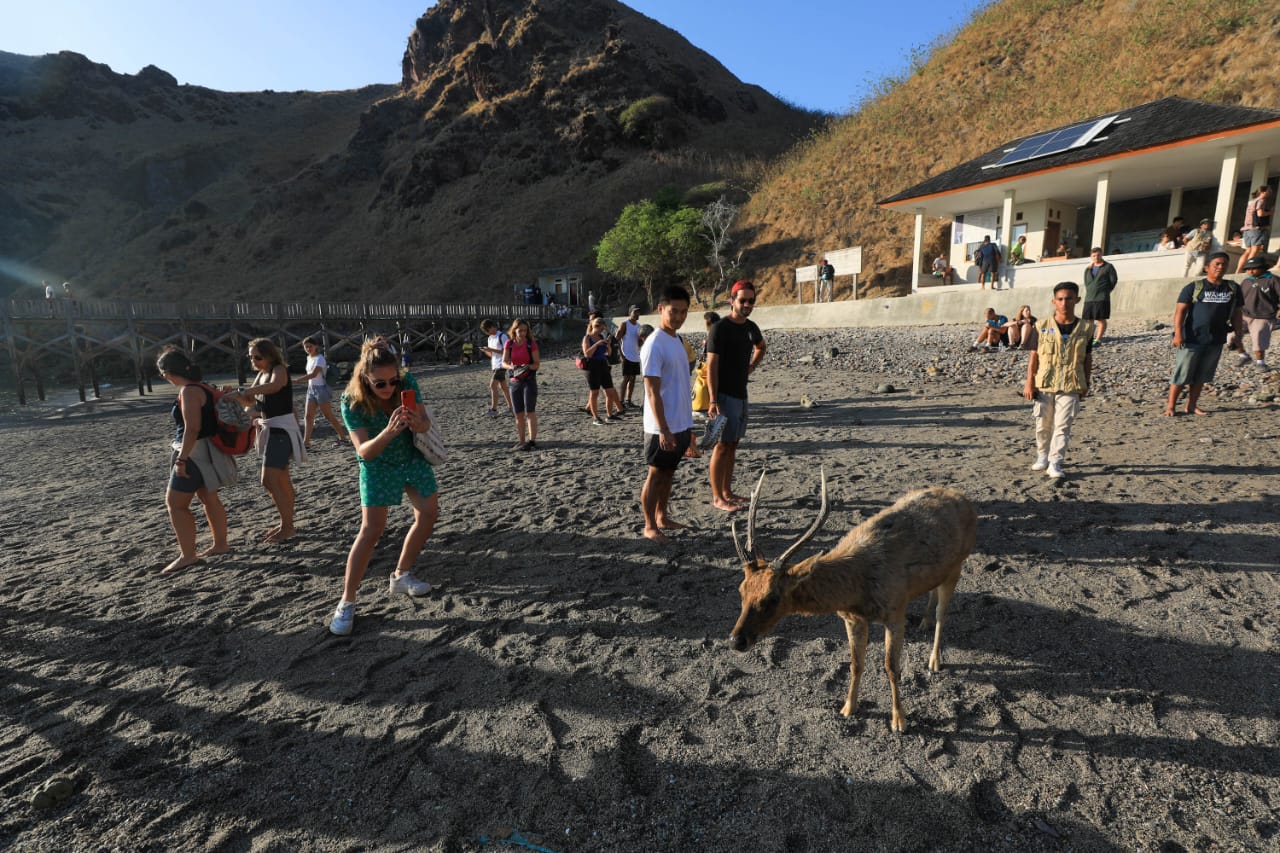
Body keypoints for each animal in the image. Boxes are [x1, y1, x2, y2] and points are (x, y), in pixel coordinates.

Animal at [732, 466, 977, 732]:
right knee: (933, 593)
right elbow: (855, 664)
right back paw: (923, 623)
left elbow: (891, 668)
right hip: (940, 571)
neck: (857, 590)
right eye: (741, 591)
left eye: (772, 597)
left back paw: (934, 660)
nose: (736, 640)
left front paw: (899, 720)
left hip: (958, 564)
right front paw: (848, 708)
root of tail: (965, 499)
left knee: (944, 614)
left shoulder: (895, 610)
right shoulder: (851, 618)